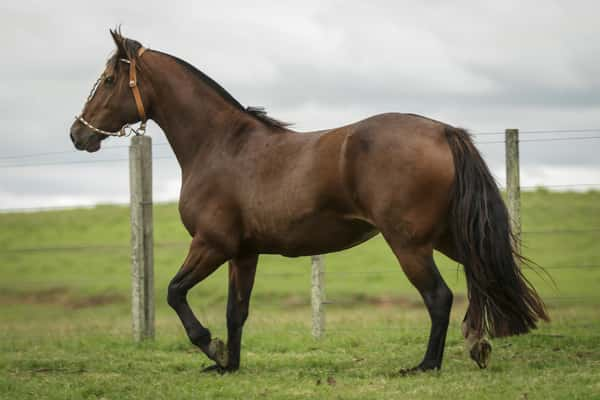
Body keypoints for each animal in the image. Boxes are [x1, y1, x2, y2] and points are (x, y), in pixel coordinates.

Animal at [68, 29, 548, 374]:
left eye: (108, 80)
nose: (78, 133)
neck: (222, 146)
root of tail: (443, 130)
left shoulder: (211, 244)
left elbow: (174, 292)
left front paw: (211, 348)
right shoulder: (243, 253)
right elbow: (236, 311)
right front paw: (228, 364)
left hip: (409, 244)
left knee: (439, 296)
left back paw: (426, 365)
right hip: (447, 237)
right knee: (480, 276)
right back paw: (477, 344)